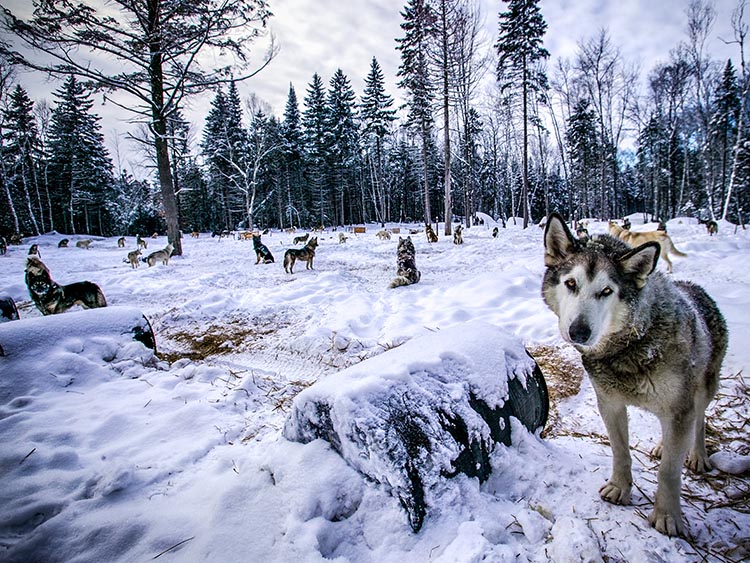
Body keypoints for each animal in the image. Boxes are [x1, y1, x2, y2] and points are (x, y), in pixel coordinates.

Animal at [544, 213, 732, 536]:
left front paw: (667, 516)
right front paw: (620, 488)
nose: (578, 331)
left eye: (606, 291)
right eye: (570, 283)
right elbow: (621, 453)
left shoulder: (679, 410)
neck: (632, 345)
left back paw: (697, 455)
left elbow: (669, 471)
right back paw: (663, 445)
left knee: (699, 421)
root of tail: (695, 287)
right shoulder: (610, 404)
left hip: (703, 389)